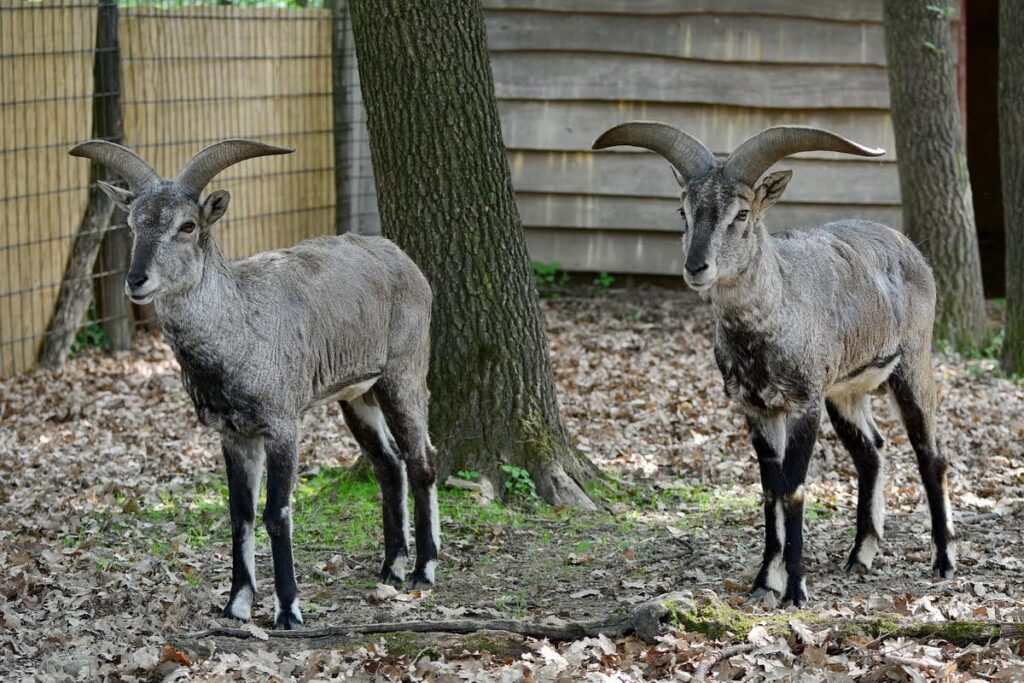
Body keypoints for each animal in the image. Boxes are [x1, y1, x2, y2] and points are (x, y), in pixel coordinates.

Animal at [71, 139, 440, 630]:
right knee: (388, 463)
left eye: (187, 225)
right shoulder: (234, 434)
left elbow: (276, 512)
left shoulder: (281, 425)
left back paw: (423, 569)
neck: (240, 330)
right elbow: (240, 514)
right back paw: (391, 566)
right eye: (132, 224)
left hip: (403, 375)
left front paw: (288, 611)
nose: (136, 280)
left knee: (422, 460)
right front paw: (237, 604)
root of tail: (406, 263)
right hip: (357, 395)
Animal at [593, 121, 958, 602]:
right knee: (871, 452)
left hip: (911, 364)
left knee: (929, 453)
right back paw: (860, 555)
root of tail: (910, 248)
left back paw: (944, 560)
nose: (696, 267)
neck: (769, 326)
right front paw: (765, 582)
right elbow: (770, 491)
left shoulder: (804, 403)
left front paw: (796, 589)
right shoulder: (758, 409)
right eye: (683, 211)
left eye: (741, 214)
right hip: (844, 392)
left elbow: (794, 489)